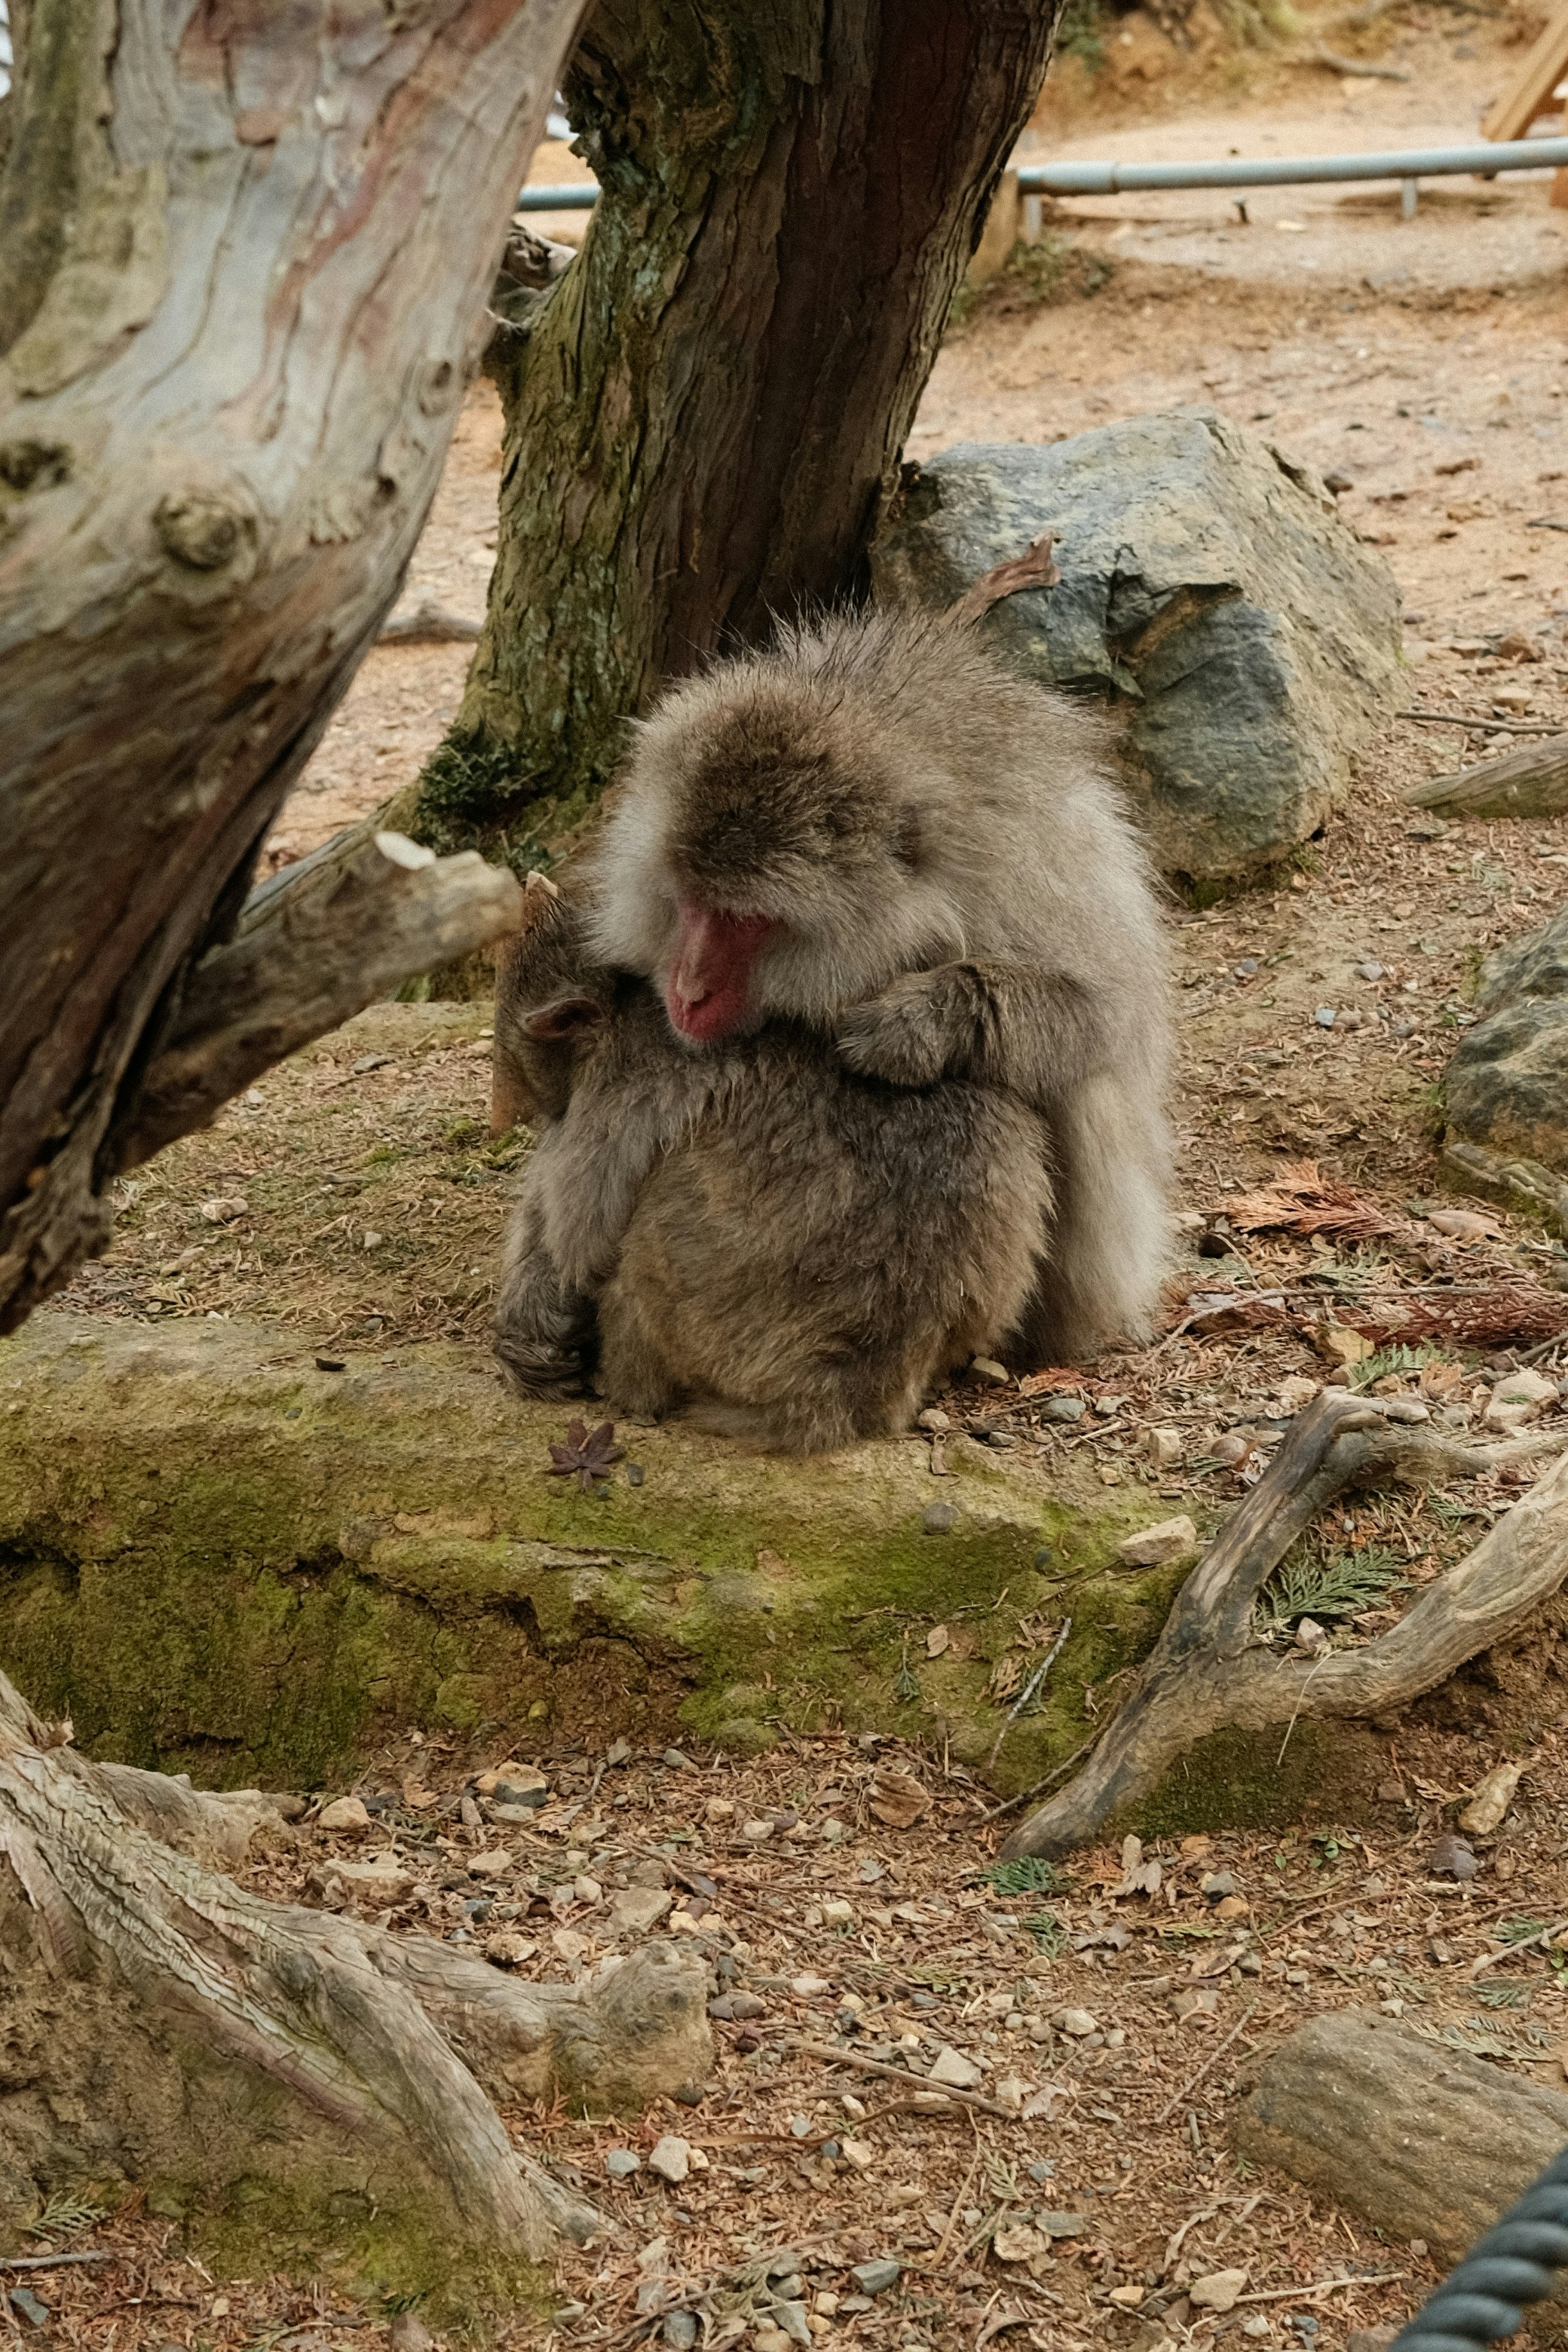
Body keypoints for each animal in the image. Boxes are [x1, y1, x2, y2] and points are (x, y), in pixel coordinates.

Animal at [491, 885, 1054, 1453]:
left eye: (514, 1052)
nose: (511, 1111)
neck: (631, 1001)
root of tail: (838, 1393)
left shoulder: (618, 1083)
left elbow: (580, 1234)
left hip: (706, 1334)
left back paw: (632, 1390)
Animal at [582, 602, 1173, 1365]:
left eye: (745, 920)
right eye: (689, 901)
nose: (687, 990)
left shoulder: (1025, 862)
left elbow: (1107, 1018)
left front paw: (917, 1022)